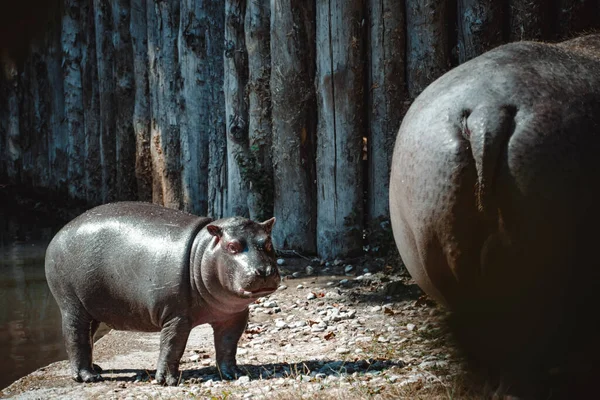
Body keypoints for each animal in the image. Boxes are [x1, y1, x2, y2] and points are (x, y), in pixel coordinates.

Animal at [45, 202, 282, 386]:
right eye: (232, 246)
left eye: (269, 242)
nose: (264, 271)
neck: (203, 251)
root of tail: (60, 232)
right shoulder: (176, 316)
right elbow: (172, 346)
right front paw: (167, 381)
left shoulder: (234, 316)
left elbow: (228, 345)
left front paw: (234, 374)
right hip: (72, 304)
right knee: (75, 335)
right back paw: (88, 377)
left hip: (91, 307)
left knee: (88, 336)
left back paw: (97, 368)